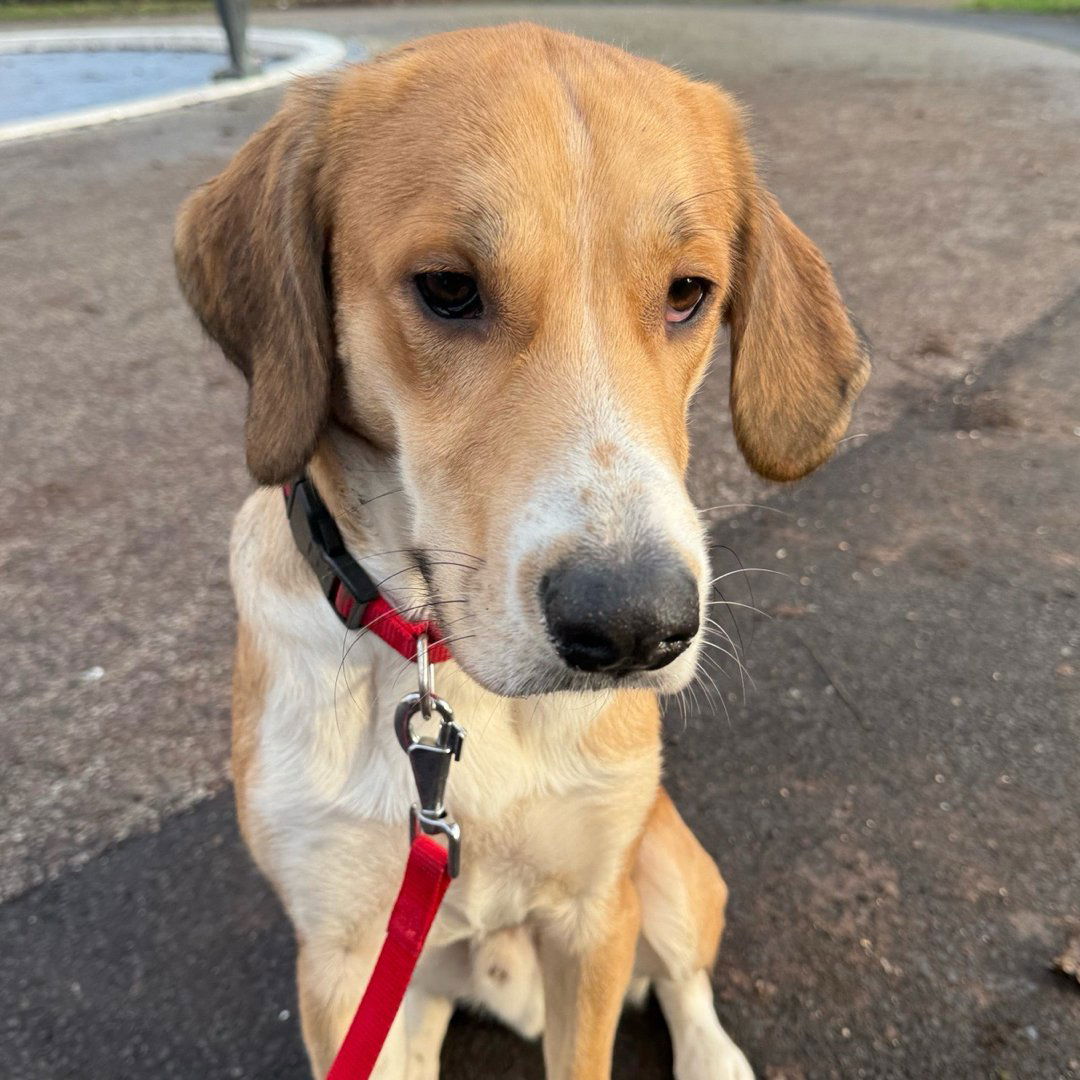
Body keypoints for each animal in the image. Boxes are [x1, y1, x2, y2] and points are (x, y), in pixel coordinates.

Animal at [175, 23, 867, 1079]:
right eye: (448, 288)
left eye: (689, 294)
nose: (635, 630)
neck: (451, 677)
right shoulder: (342, 963)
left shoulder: (594, 913)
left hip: (666, 867)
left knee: (685, 980)